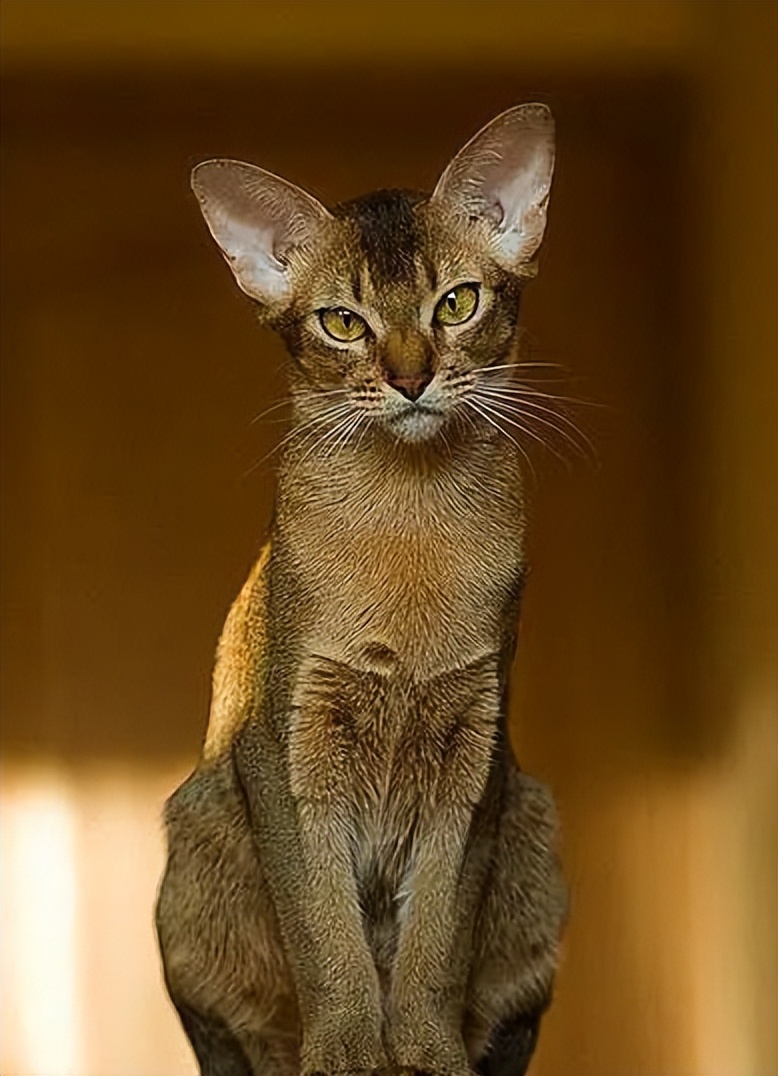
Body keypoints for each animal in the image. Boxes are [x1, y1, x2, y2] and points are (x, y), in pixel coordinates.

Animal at [157, 102, 568, 1076]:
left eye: (456, 302)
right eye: (343, 322)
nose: (410, 378)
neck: (407, 524)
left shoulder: (476, 755)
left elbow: (436, 943)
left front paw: (421, 1053)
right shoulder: (283, 745)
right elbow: (325, 931)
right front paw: (347, 1051)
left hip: (535, 834)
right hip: (196, 843)